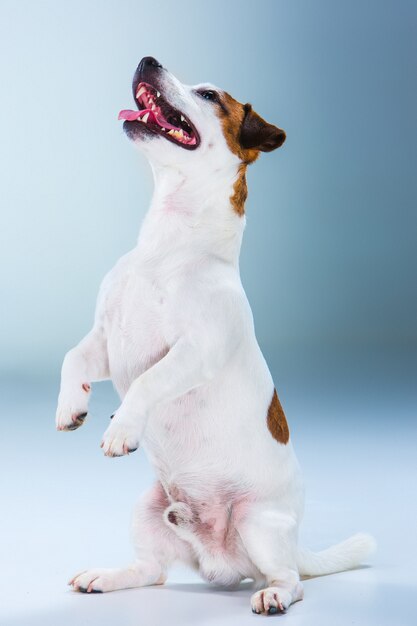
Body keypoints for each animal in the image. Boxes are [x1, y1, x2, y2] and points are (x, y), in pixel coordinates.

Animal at [55, 56, 374, 612]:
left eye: (208, 95)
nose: (148, 59)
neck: (166, 245)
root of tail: (219, 563)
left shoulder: (195, 351)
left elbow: (148, 381)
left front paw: (121, 427)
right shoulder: (106, 343)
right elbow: (72, 358)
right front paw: (70, 406)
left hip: (257, 523)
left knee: (291, 579)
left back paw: (274, 595)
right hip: (147, 508)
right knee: (152, 572)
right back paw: (107, 576)